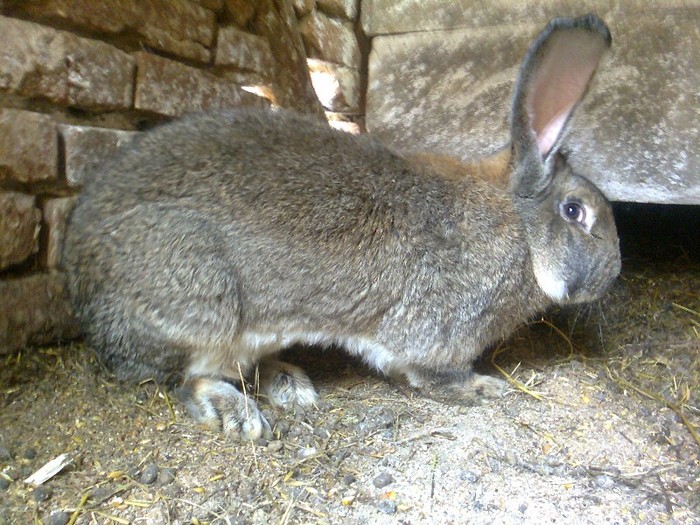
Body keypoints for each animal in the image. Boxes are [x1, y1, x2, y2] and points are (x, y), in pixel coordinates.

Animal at [63, 14, 620, 438]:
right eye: (576, 212)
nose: (613, 274)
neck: (517, 228)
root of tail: (80, 287)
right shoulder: (435, 332)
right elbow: (430, 375)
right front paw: (482, 387)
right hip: (201, 301)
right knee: (189, 378)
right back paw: (240, 413)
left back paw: (291, 383)